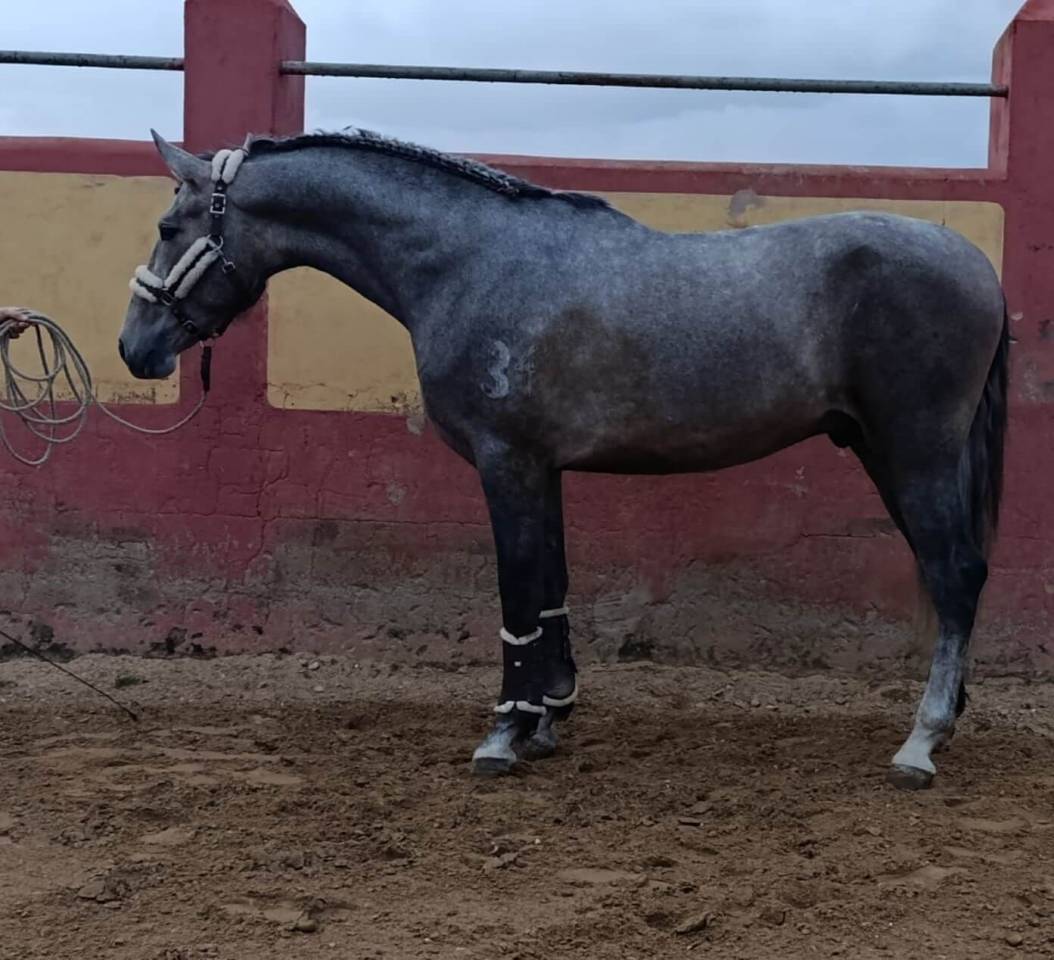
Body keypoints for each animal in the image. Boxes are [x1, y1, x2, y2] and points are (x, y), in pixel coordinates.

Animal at [119, 128, 1009, 790]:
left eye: (168, 229)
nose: (135, 348)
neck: (472, 261)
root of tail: (974, 262)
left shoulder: (505, 462)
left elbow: (517, 593)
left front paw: (504, 734)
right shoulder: (540, 469)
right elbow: (550, 588)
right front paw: (549, 716)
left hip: (914, 452)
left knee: (955, 572)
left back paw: (921, 742)